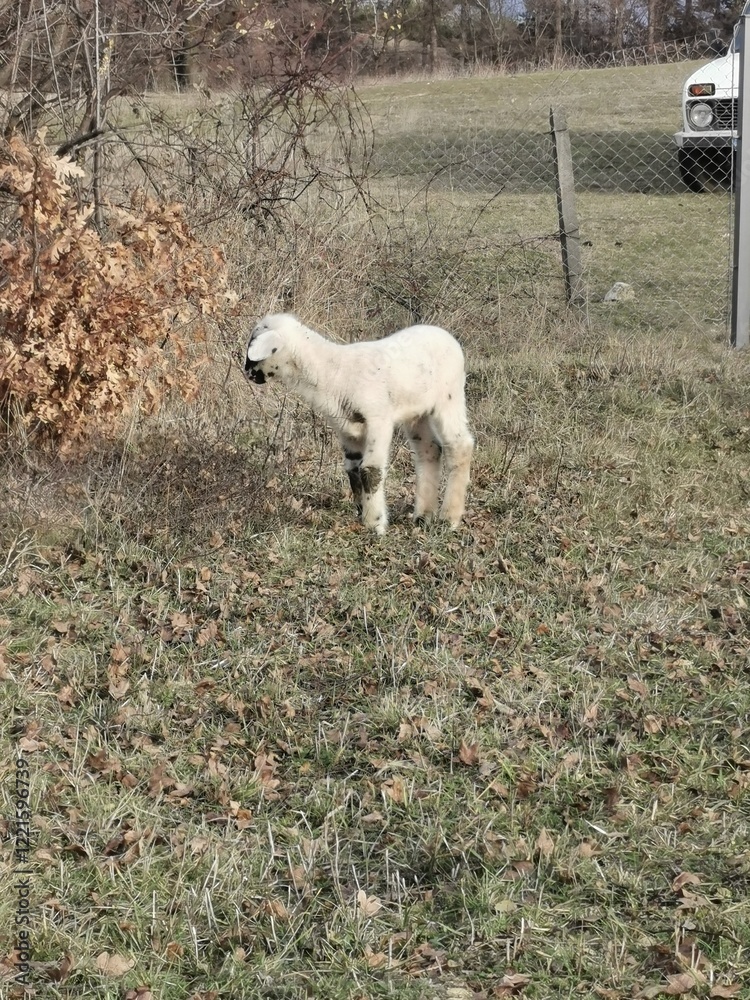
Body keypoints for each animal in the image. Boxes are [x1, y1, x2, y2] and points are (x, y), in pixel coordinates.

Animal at [244, 313, 474, 535]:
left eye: (253, 345)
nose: (247, 373)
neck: (333, 372)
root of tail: (446, 335)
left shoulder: (379, 419)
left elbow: (370, 471)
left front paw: (375, 524)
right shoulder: (347, 428)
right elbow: (353, 469)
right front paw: (362, 514)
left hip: (450, 397)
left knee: (460, 446)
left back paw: (449, 519)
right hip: (417, 412)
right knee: (429, 450)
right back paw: (423, 516)